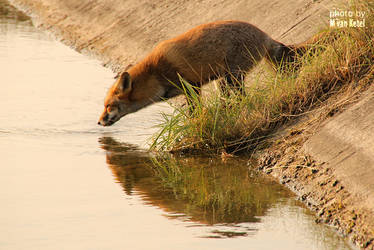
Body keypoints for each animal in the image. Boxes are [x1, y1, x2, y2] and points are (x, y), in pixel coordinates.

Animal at [98, 20, 296, 126]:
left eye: (108, 106)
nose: (99, 122)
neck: (155, 74)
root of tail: (264, 35)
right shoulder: (189, 89)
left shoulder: (191, 87)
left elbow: (195, 111)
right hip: (222, 81)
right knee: (233, 99)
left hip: (230, 78)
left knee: (242, 98)